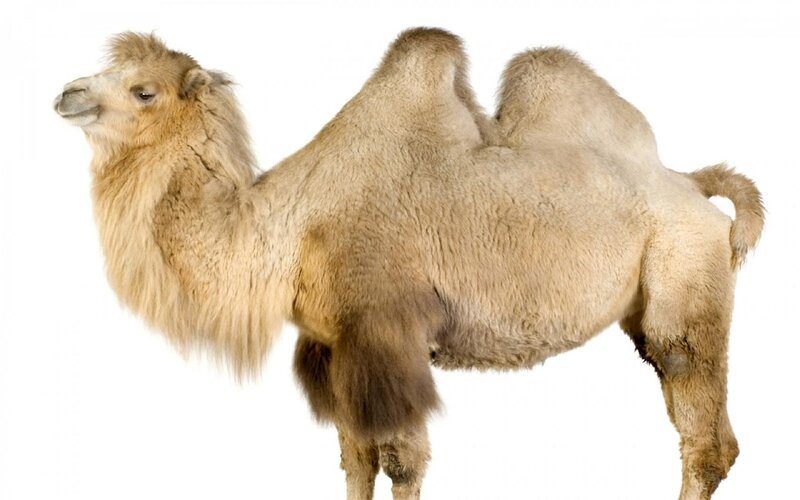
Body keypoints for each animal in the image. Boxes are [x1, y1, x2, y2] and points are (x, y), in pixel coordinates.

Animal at [54, 29, 763, 500]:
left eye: (144, 91)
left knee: (703, 431)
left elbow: (400, 460)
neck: (289, 227)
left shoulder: (386, 333)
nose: (66, 93)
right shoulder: (332, 346)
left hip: (684, 281)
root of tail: (694, 189)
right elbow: (355, 458)